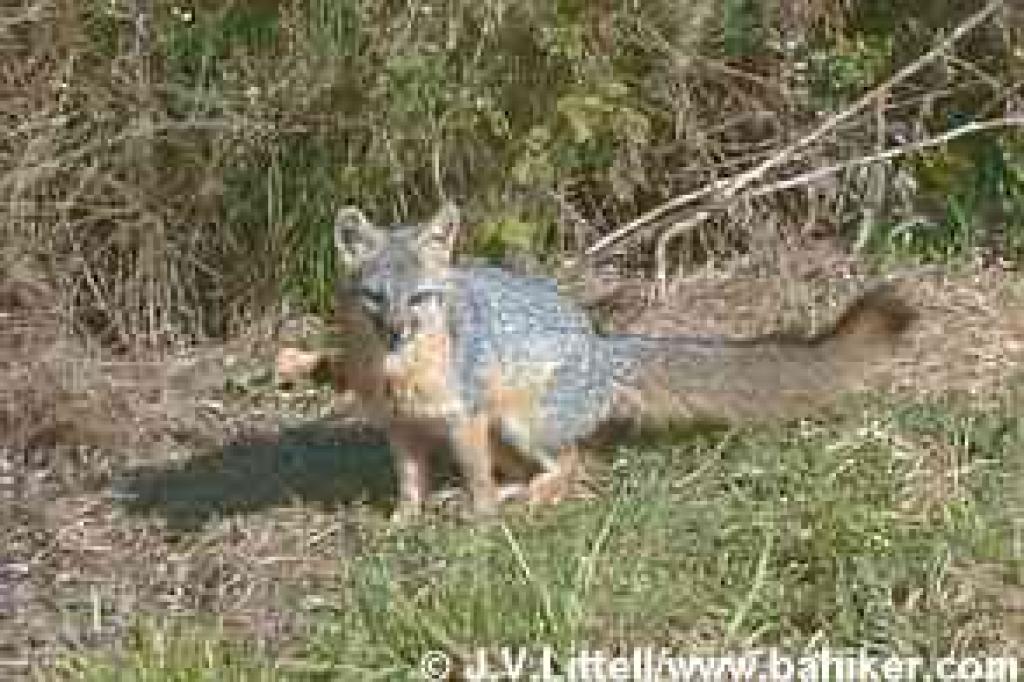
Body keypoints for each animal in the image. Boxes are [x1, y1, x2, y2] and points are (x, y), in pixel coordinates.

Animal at [279, 202, 916, 520]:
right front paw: (404, 526)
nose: (396, 332)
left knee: (576, 466)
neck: (398, 377)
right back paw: (513, 495)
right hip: (507, 434)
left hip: (517, 424)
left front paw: (480, 528)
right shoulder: (401, 431)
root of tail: (600, 344)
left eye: (419, 299)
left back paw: (524, 501)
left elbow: (477, 483)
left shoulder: (466, 420)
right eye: (374, 298)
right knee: (550, 469)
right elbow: (411, 486)